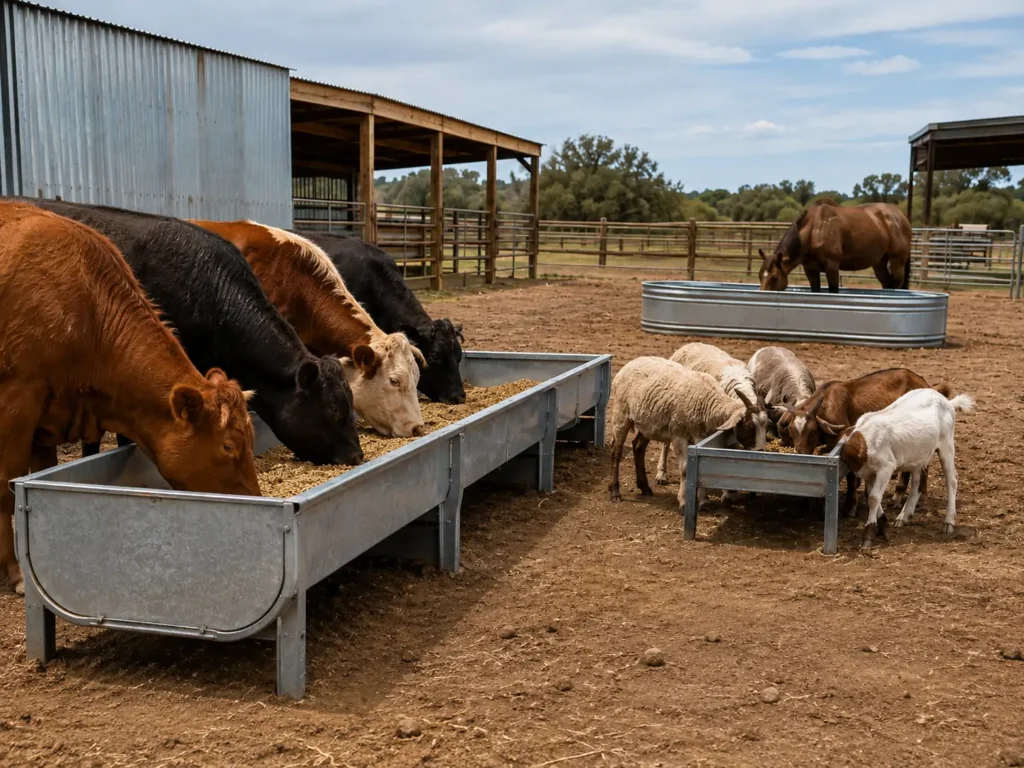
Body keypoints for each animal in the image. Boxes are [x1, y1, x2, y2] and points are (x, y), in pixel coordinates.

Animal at [0, 202, 260, 595]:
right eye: (229, 446)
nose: (255, 501)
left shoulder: (46, 418)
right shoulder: (18, 400)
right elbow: (7, 484)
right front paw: (16, 573)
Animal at [608, 356, 763, 512]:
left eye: (766, 426)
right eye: (749, 426)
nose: (760, 451)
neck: (708, 402)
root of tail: (631, 362)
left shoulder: (701, 437)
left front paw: (703, 500)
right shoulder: (679, 435)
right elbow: (685, 469)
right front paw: (683, 502)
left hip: (648, 421)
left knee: (638, 447)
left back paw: (645, 488)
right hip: (621, 413)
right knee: (616, 451)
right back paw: (615, 491)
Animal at [654, 341, 768, 490]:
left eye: (767, 426)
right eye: (749, 426)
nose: (760, 451)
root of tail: (689, 344)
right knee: (666, 443)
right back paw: (661, 474)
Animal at [758, 200, 912, 293]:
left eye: (774, 277)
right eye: (760, 276)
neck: (815, 229)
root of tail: (901, 215)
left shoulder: (832, 266)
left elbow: (833, 290)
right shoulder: (810, 269)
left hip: (897, 261)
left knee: (897, 283)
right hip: (879, 263)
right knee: (887, 283)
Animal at [839, 387, 974, 548]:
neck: (865, 441)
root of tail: (946, 401)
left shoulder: (886, 468)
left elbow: (873, 498)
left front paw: (868, 535)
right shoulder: (869, 473)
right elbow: (871, 496)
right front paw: (882, 525)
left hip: (946, 446)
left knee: (951, 479)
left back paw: (948, 521)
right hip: (919, 456)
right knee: (917, 483)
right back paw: (904, 515)